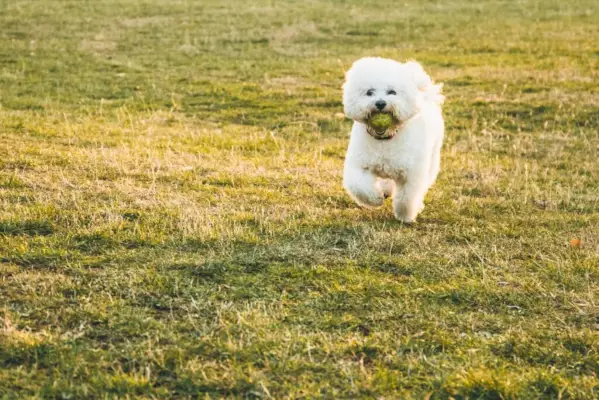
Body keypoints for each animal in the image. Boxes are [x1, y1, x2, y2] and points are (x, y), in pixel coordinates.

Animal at [342, 57, 446, 223]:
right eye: (369, 92)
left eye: (392, 92)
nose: (380, 103)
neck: (384, 139)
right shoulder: (359, 165)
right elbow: (359, 187)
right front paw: (375, 199)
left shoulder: (411, 175)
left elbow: (406, 198)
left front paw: (405, 216)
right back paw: (385, 190)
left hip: (432, 158)